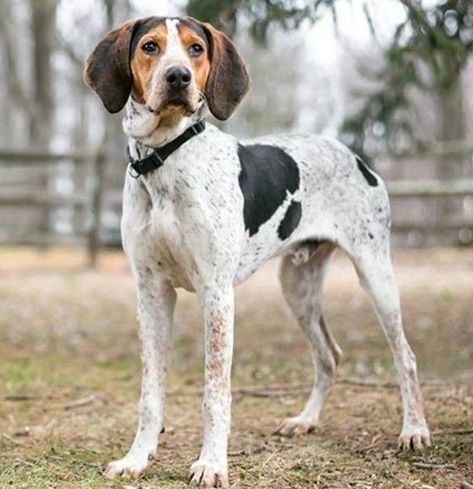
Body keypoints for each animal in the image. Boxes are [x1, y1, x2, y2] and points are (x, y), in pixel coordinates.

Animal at [83, 16, 430, 488]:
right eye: (150, 47)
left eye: (195, 48)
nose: (178, 78)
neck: (166, 158)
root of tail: (354, 155)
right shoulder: (152, 293)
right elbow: (150, 393)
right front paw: (137, 458)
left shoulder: (216, 294)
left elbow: (215, 392)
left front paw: (211, 464)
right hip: (297, 287)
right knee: (329, 355)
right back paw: (306, 420)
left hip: (375, 275)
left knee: (404, 357)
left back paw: (414, 430)